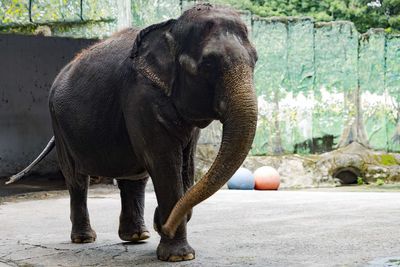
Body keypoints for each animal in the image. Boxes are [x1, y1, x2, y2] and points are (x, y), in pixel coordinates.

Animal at [7, 3, 258, 264]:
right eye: (208, 64)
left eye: (256, 60)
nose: (165, 225)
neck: (170, 27)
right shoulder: (140, 95)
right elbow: (164, 162)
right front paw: (179, 256)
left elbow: (186, 166)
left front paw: (163, 224)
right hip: (58, 122)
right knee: (77, 178)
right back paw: (84, 239)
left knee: (134, 175)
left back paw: (138, 236)